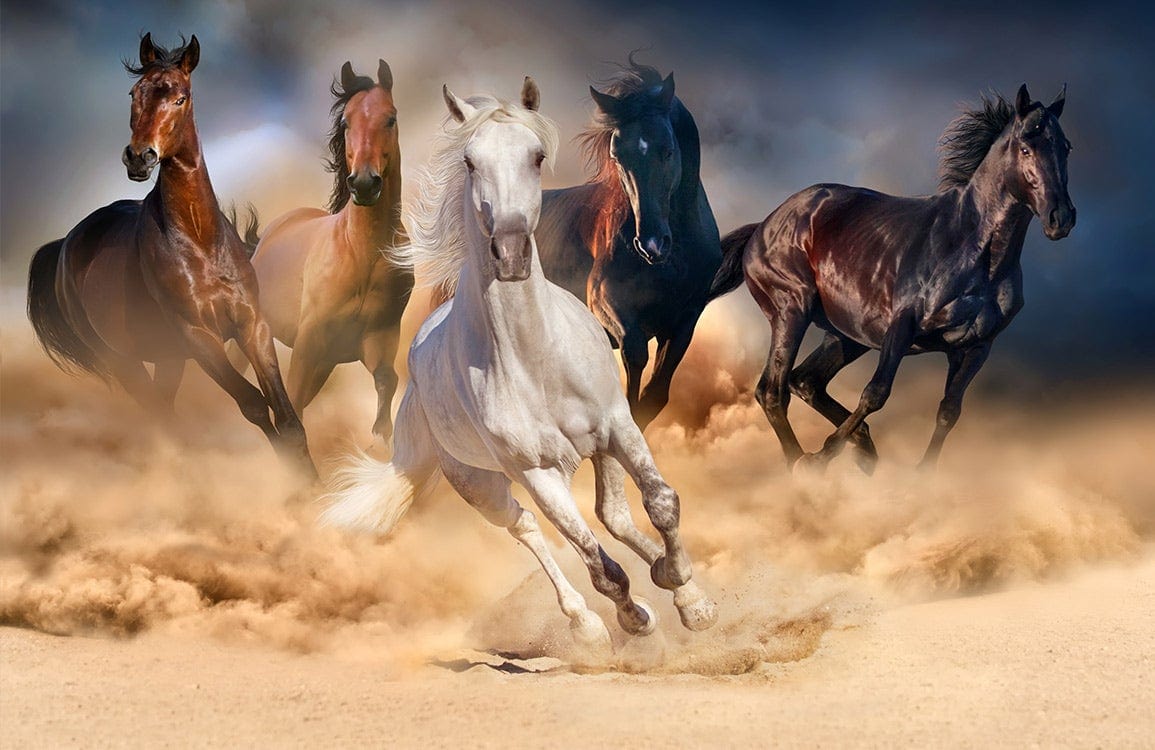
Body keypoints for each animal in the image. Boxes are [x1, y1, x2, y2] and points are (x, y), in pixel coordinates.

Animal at [25, 34, 315, 477]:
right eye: (134, 93)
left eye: (181, 97)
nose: (138, 157)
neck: (200, 241)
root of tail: (65, 245)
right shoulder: (198, 337)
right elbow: (253, 405)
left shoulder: (252, 326)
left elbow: (286, 415)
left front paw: (314, 484)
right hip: (122, 361)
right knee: (161, 417)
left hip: (167, 359)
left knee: (165, 410)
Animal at [249, 60, 411, 439]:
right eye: (346, 122)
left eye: (390, 118)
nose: (364, 183)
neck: (362, 254)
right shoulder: (309, 341)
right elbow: (291, 405)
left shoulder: (377, 339)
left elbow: (387, 382)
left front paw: (379, 440)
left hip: (326, 363)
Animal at [535, 59, 721, 430]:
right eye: (618, 156)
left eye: (668, 150)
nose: (651, 243)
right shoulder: (605, 301)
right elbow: (634, 356)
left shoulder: (684, 321)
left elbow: (655, 396)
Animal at [710, 84, 1075, 472]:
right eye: (1026, 147)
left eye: (1065, 147)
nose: (1061, 218)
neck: (974, 251)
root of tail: (762, 226)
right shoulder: (902, 326)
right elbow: (875, 393)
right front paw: (823, 457)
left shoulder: (976, 347)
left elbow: (949, 411)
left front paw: (920, 475)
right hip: (791, 311)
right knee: (773, 391)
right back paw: (803, 464)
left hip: (845, 335)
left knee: (805, 381)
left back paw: (863, 449)